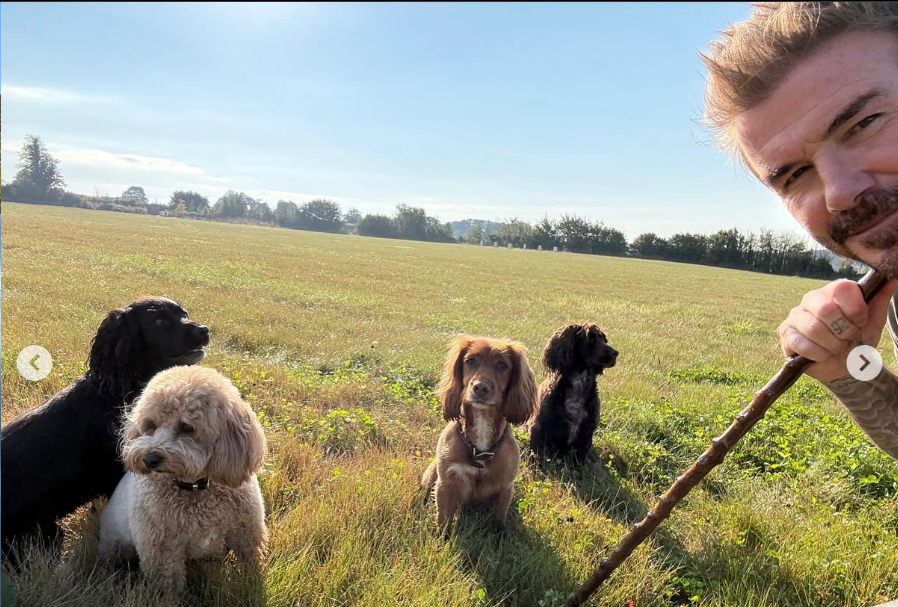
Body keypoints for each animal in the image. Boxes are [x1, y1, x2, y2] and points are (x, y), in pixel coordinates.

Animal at [99, 366, 266, 592]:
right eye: (150, 425)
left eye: (187, 427)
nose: (149, 459)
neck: (195, 487)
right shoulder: (161, 550)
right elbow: (169, 587)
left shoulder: (247, 532)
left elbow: (253, 565)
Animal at [524, 324, 616, 466]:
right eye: (590, 338)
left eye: (604, 339)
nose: (615, 353)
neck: (579, 385)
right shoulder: (537, 427)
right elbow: (537, 454)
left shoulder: (586, 432)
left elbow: (580, 461)